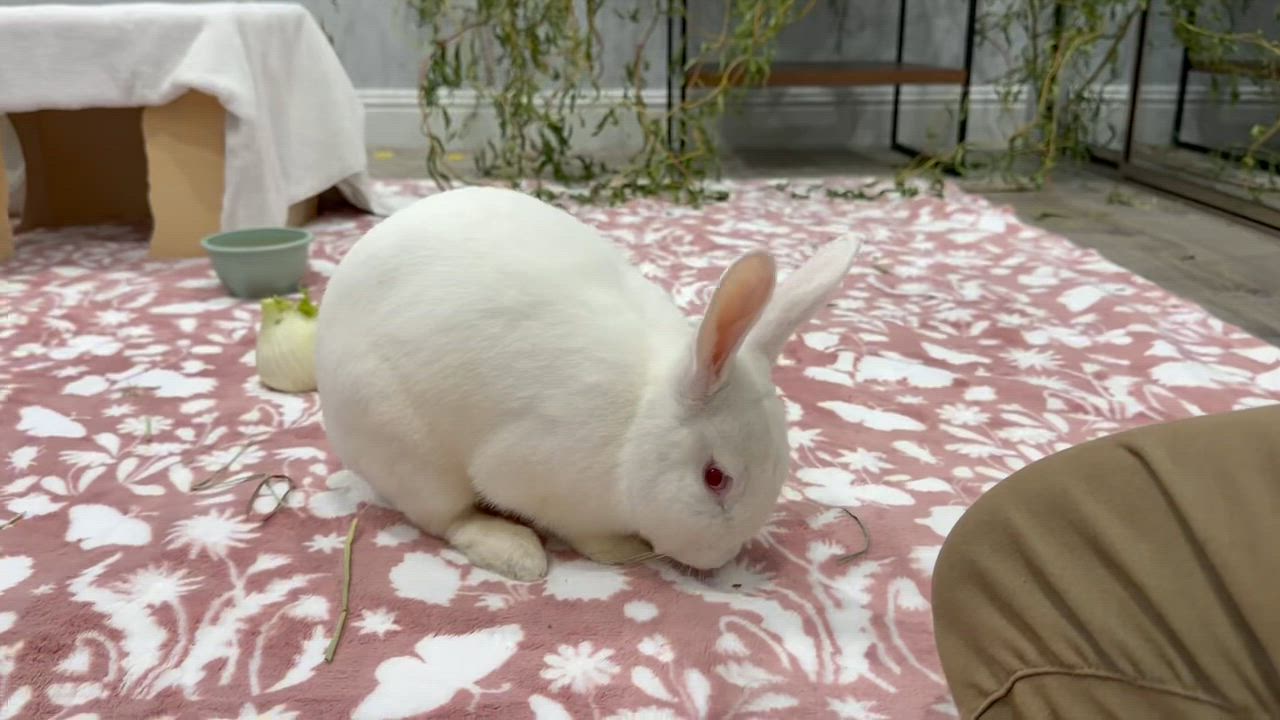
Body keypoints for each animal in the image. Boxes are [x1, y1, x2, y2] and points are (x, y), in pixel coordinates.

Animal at [314, 185, 859, 581]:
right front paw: (623, 550)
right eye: (714, 478)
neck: (637, 428)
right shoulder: (534, 473)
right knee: (446, 518)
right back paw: (517, 554)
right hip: (407, 450)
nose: (719, 560)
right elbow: (579, 530)